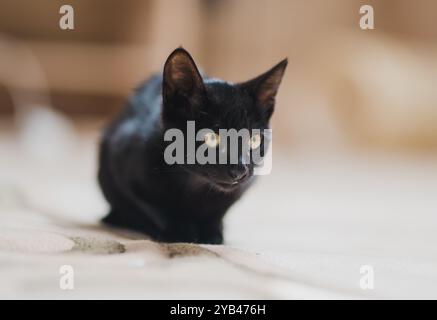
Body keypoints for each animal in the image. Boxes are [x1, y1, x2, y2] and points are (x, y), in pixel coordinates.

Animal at [97, 47, 286, 242]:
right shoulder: (121, 162)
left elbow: (218, 211)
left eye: (254, 140)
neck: (195, 184)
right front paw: (180, 231)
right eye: (211, 138)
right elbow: (155, 208)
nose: (240, 170)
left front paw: (212, 233)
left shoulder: (242, 187)